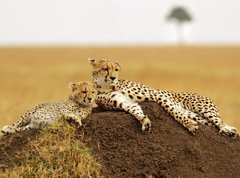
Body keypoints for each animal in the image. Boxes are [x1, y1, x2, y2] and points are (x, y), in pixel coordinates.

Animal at [87, 57, 238, 138]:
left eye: (116, 69)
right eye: (105, 69)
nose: (113, 77)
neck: (108, 87)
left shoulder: (156, 94)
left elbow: (172, 110)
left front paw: (189, 125)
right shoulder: (126, 103)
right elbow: (135, 110)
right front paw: (145, 122)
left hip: (201, 108)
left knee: (218, 121)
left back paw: (228, 130)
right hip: (196, 115)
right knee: (211, 123)